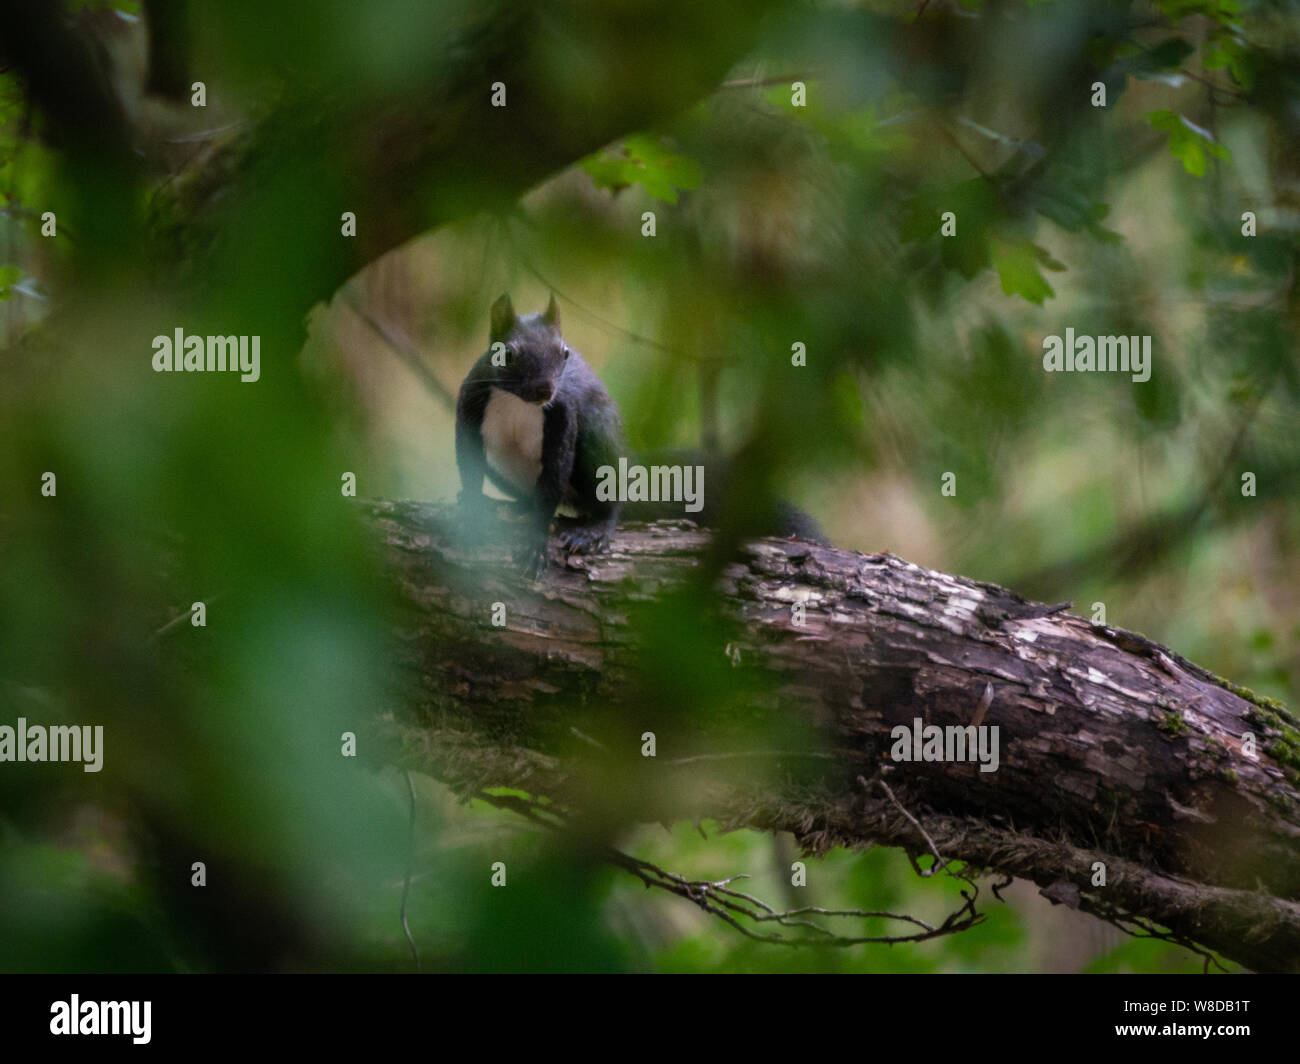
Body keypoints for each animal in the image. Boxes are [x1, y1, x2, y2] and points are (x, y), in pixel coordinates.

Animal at [457, 290, 821, 577]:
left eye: (564, 353)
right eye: (509, 354)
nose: (545, 390)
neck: (519, 404)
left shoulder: (563, 415)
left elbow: (555, 474)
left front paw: (535, 542)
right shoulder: (471, 404)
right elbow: (469, 461)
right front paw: (471, 506)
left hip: (599, 441)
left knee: (609, 500)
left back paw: (594, 529)